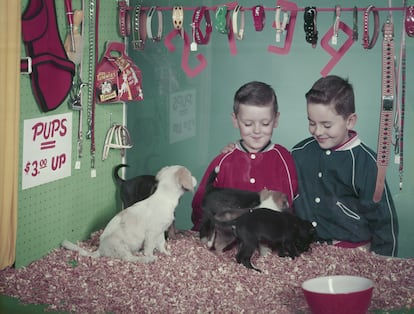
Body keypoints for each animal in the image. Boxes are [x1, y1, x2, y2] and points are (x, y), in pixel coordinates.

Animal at [61, 166, 197, 264]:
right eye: (190, 175)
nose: (195, 177)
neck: (164, 196)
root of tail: (100, 249)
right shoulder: (151, 233)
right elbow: (149, 248)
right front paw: (151, 256)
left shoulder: (161, 231)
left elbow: (162, 243)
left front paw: (166, 253)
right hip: (121, 246)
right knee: (129, 258)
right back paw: (145, 260)